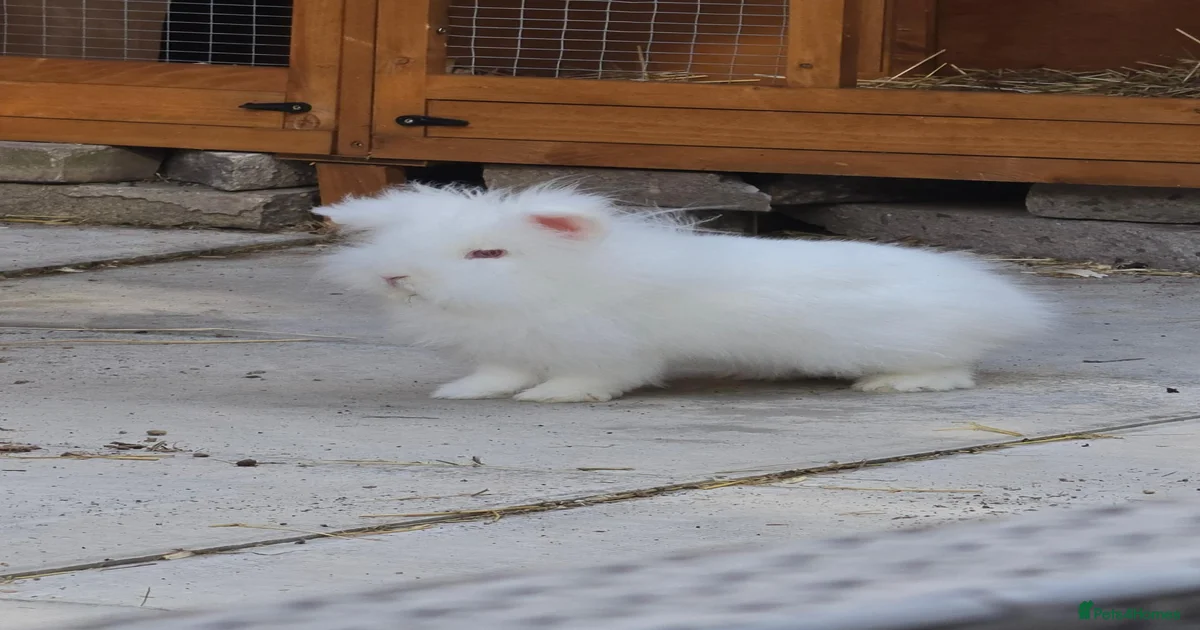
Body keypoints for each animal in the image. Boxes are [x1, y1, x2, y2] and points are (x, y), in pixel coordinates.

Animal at [318, 182, 1051, 403]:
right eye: (396, 243)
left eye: (486, 254)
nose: (396, 277)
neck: (551, 280)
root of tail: (1005, 303)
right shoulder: (511, 344)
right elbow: (498, 373)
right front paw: (466, 393)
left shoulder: (604, 349)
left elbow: (589, 379)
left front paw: (551, 399)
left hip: (917, 344)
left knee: (952, 370)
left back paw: (893, 385)